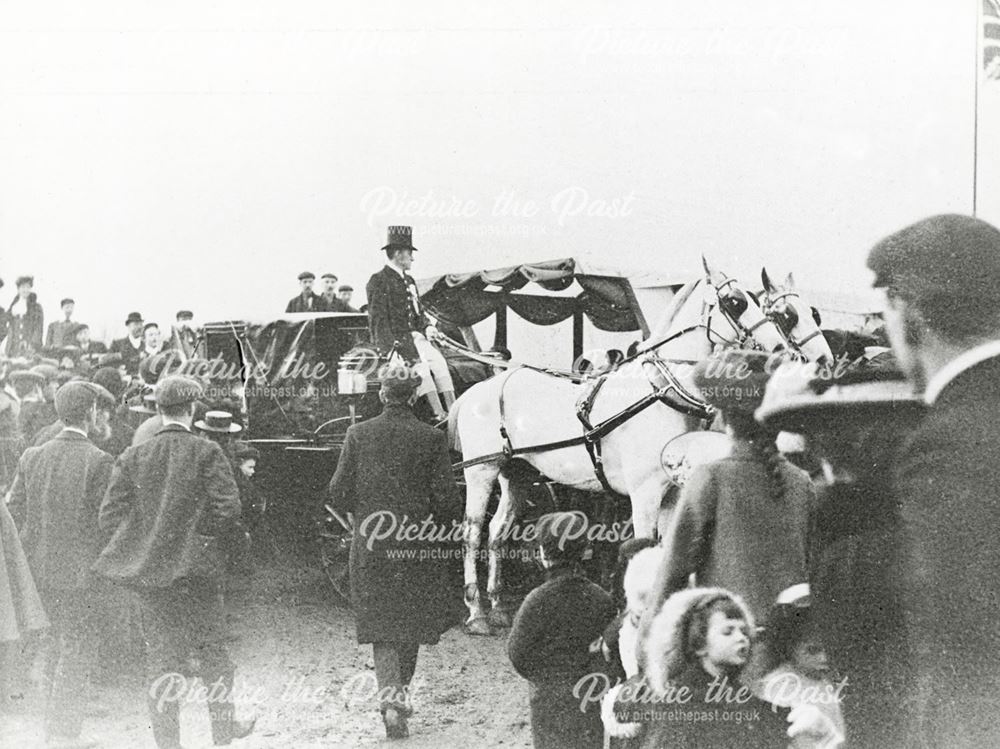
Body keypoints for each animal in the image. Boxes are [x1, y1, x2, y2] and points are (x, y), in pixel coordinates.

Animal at [452, 258, 788, 632]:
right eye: (735, 301)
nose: (780, 350)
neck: (659, 393)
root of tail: (478, 390)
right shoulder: (644, 494)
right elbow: (643, 546)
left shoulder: (672, 494)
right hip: (481, 470)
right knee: (472, 532)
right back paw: (477, 611)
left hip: (516, 473)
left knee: (497, 530)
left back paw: (497, 605)